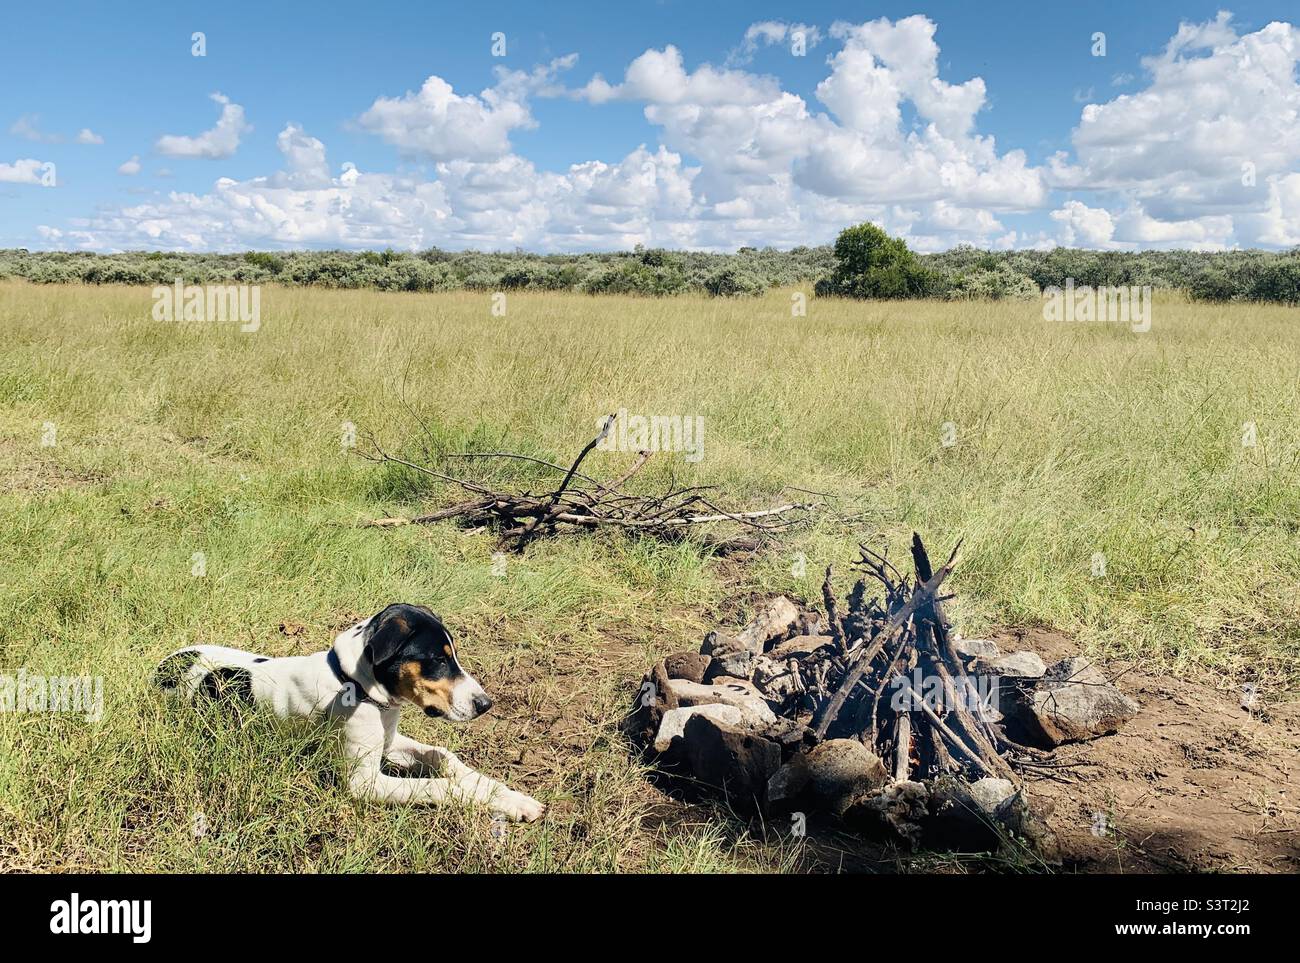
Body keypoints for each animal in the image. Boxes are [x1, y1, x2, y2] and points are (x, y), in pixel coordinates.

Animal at [154, 600, 546, 821]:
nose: (485, 704)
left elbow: (445, 757)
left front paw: (508, 794)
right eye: (438, 658)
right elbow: (439, 787)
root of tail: (161, 667)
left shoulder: (390, 743)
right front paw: (501, 802)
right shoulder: (364, 782)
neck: (354, 686)